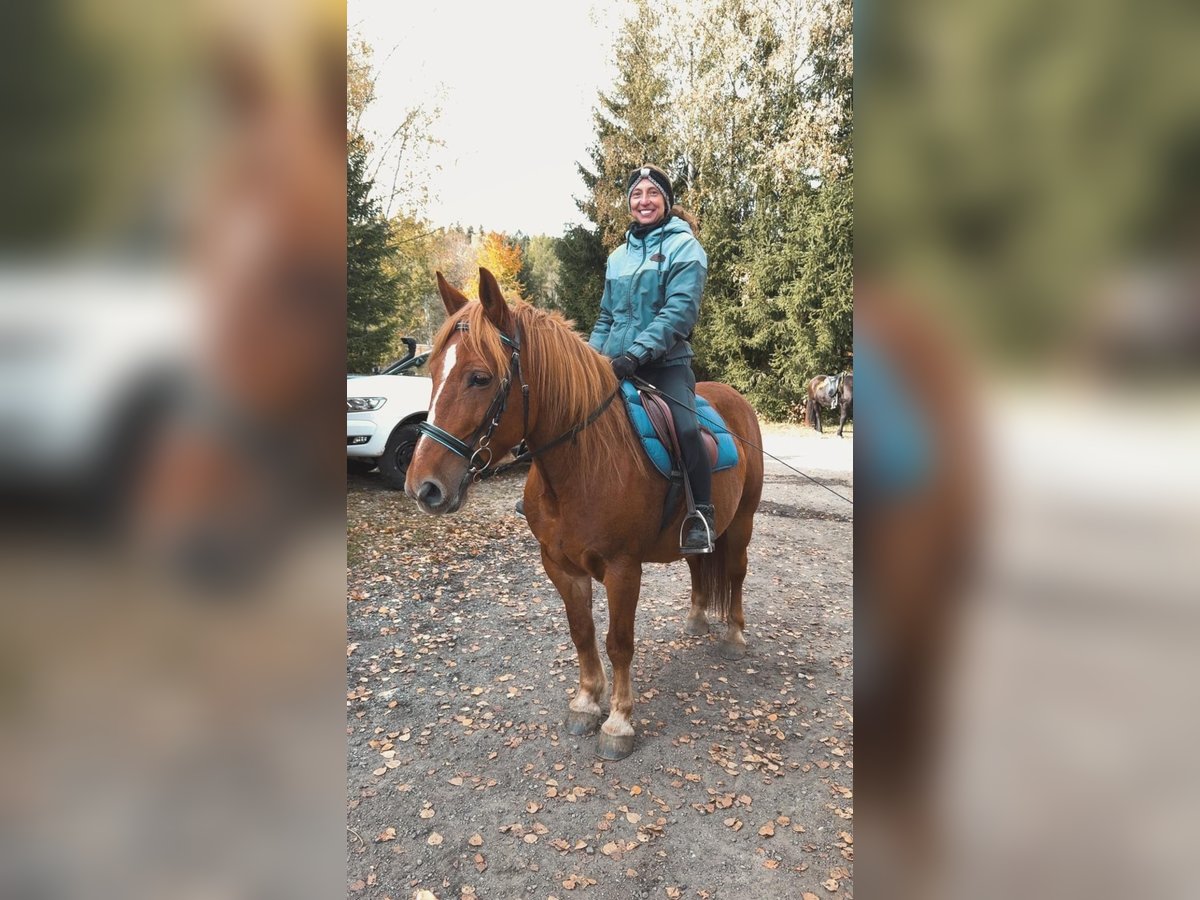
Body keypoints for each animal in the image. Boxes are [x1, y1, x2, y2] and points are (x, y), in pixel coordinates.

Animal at [405, 268, 765, 760]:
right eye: (433, 371)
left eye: (479, 377)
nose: (423, 487)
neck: (584, 462)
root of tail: (735, 399)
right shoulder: (559, 565)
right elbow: (581, 632)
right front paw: (586, 702)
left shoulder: (622, 569)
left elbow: (619, 643)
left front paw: (618, 722)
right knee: (697, 565)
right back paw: (695, 620)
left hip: (743, 524)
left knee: (736, 573)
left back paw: (734, 635)